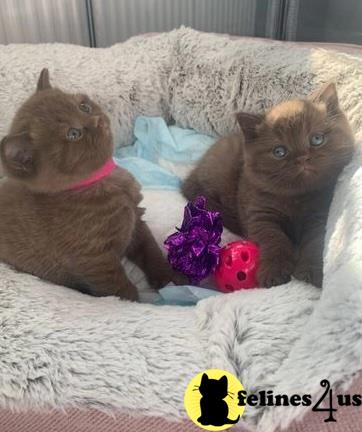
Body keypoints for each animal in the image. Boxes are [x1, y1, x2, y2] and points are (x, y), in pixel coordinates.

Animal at [0, 70, 177, 300]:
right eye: (73, 134)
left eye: (84, 107)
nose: (96, 120)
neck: (101, 181)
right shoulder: (97, 263)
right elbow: (121, 291)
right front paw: (138, 304)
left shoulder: (136, 222)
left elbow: (150, 250)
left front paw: (170, 278)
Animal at [182, 84, 354, 286]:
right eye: (279, 151)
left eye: (317, 139)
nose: (302, 158)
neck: (297, 196)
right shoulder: (260, 214)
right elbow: (273, 238)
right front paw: (274, 272)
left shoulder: (320, 214)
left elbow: (315, 241)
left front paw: (311, 271)